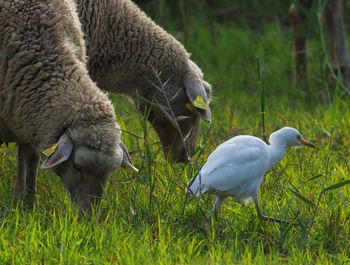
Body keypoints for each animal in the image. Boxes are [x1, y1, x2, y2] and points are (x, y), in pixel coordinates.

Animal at [0, 0, 137, 211]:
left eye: (110, 172)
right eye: (78, 166)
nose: (88, 215)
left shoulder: (28, 120)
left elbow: (29, 163)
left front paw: (27, 203)